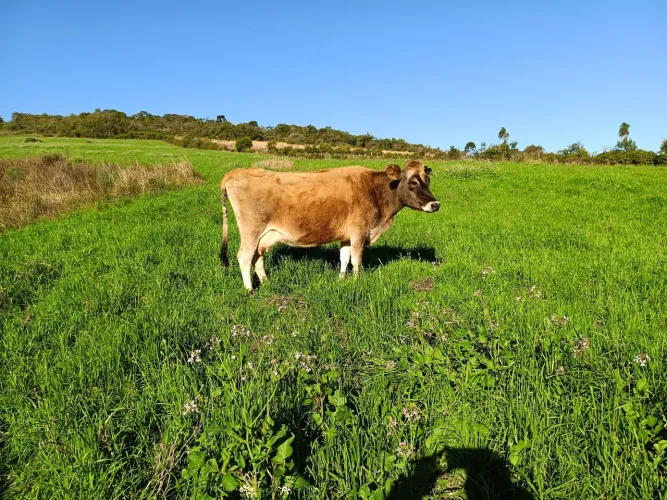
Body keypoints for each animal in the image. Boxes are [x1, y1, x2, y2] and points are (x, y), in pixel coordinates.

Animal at [219, 159, 439, 291]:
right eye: (413, 182)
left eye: (427, 180)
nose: (435, 204)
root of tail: (237, 172)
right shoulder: (359, 233)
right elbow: (357, 261)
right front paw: (356, 282)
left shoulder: (346, 236)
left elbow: (344, 258)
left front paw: (341, 280)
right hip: (251, 230)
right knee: (244, 257)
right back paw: (249, 290)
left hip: (263, 236)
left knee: (257, 257)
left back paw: (265, 282)